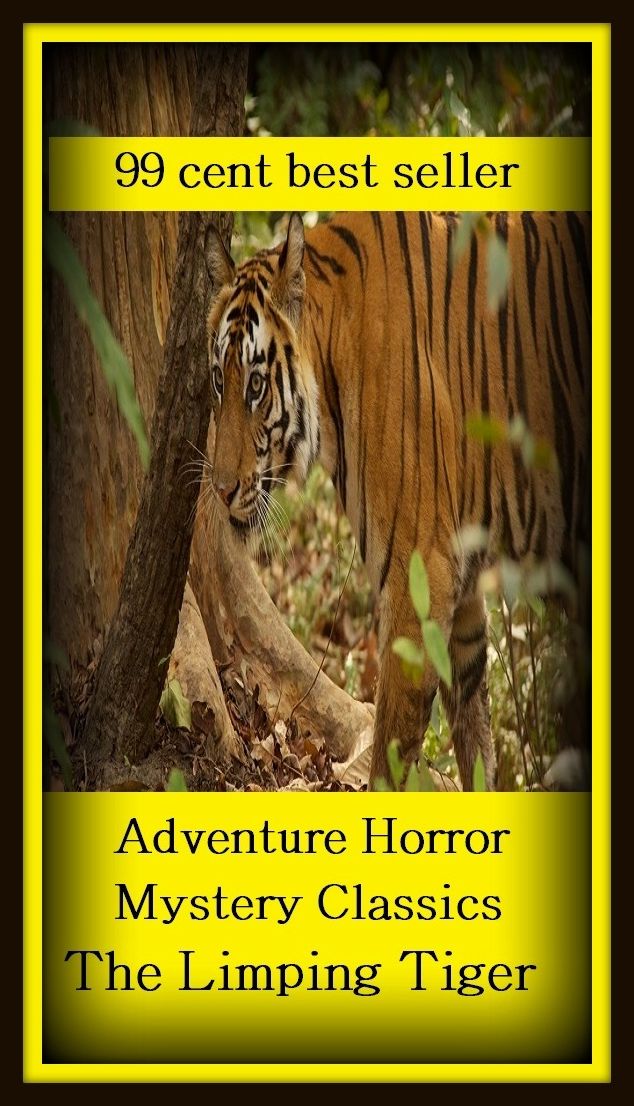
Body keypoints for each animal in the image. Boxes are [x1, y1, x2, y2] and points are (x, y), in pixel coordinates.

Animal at [204, 209, 590, 790]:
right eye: (217, 381)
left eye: (255, 385)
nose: (221, 487)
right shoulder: (463, 587)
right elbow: (475, 735)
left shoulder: (420, 575)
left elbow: (392, 746)